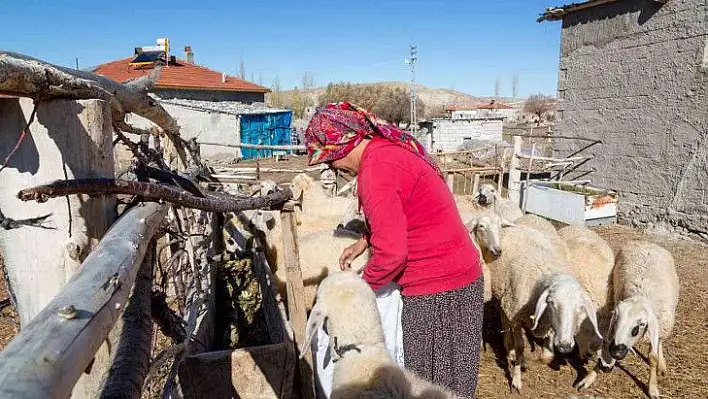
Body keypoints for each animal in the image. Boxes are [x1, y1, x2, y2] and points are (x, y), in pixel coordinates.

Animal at [588, 241, 680, 399]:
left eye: (640, 325)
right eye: (616, 320)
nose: (617, 352)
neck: (641, 297)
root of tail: (647, 243)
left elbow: (653, 357)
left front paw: (653, 388)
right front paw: (590, 377)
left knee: (660, 342)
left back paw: (662, 364)